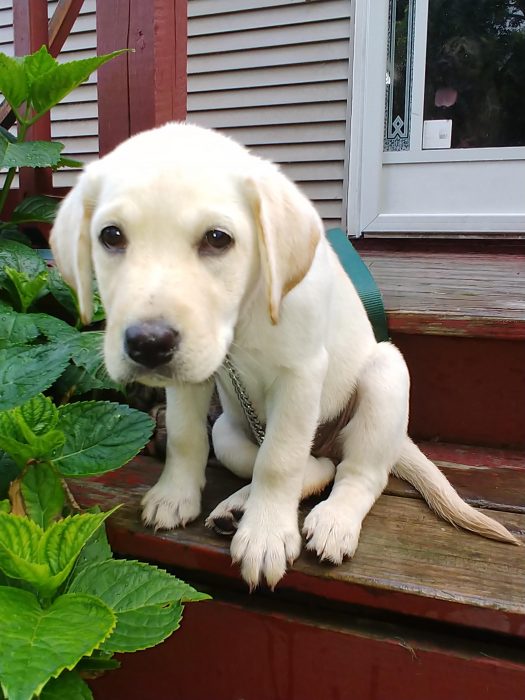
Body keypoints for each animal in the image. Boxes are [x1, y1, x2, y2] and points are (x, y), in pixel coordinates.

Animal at [51, 123, 516, 588]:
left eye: (217, 239)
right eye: (111, 236)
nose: (148, 344)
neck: (246, 313)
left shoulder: (300, 375)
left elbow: (279, 460)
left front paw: (266, 534)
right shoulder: (192, 378)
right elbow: (187, 437)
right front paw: (174, 495)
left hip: (385, 375)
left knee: (358, 473)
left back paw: (333, 520)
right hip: (227, 428)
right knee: (301, 462)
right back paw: (239, 506)